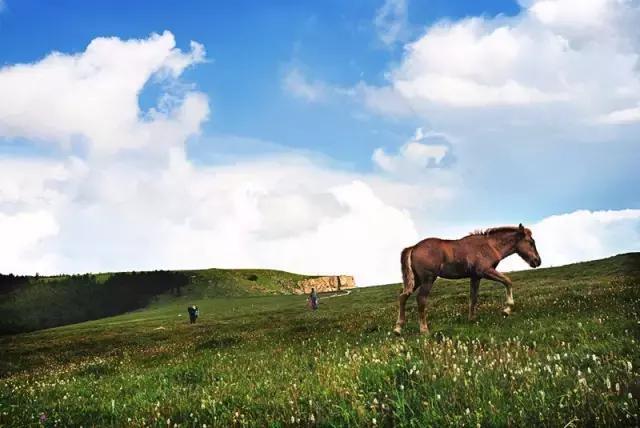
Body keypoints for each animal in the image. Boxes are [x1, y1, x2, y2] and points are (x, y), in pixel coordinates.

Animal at [396, 222, 540, 336]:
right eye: (531, 242)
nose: (537, 261)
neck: (490, 246)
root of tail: (413, 247)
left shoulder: (475, 277)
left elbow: (473, 297)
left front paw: (472, 319)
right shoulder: (486, 271)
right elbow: (508, 281)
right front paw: (507, 310)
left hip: (417, 280)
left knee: (403, 296)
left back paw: (398, 328)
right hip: (428, 279)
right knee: (421, 299)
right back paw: (424, 329)